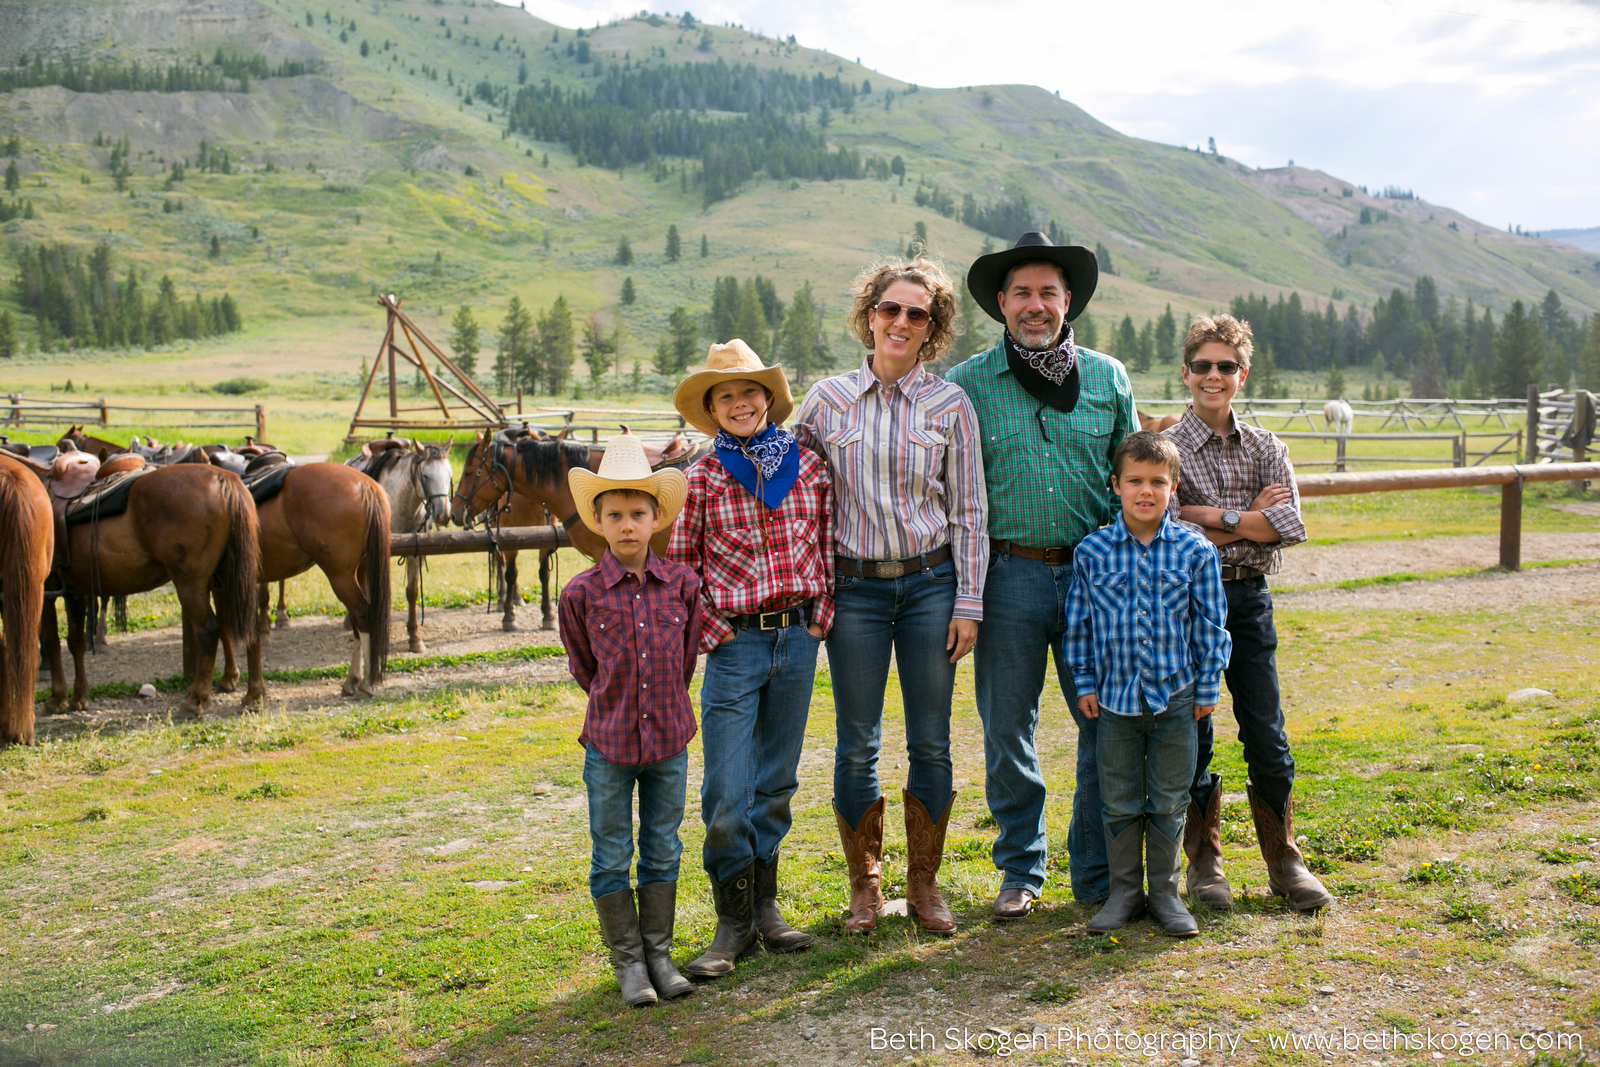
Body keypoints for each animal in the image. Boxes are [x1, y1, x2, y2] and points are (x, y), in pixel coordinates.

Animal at [43, 467, 259, 716]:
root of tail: (223, 479)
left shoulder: (45, 589)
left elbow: (51, 641)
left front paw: (56, 698)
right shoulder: (74, 592)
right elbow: (75, 641)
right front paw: (78, 697)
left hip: (190, 584)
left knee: (208, 630)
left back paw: (196, 700)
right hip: (231, 579)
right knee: (249, 626)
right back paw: (253, 694)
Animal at [222, 463, 393, 700]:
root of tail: (366, 486)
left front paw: (228, 679)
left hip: (340, 576)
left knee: (361, 615)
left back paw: (366, 684)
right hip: (363, 570)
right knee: (360, 620)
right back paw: (353, 679)